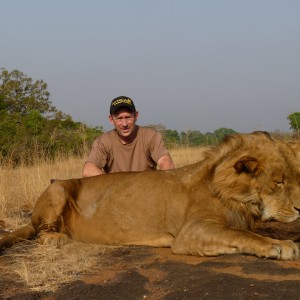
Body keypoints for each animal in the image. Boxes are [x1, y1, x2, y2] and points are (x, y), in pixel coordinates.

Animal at [0, 131, 300, 260]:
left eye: (296, 177)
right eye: (279, 182)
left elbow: (243, 232)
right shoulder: (190, 233)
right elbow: (241, 235)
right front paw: (280, 245)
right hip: (58, 188)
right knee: (39, 232)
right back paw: (57, 239)